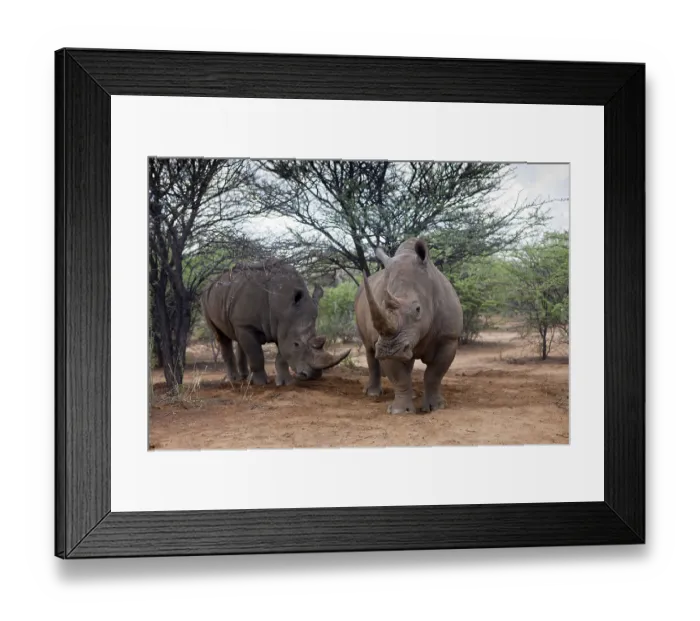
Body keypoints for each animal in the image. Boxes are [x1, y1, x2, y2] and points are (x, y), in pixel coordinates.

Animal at [200, 258, 351, 386]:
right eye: (296, 344)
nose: (313, 375)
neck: (282, 306)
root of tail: (213, 282)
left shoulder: (283, 326)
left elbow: (282, 355)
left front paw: (285, 383)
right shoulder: (249, 325)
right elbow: (256, 355)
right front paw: (260, 383)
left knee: (238, 337)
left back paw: (245, 377)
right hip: (207, 299)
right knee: (221, 336)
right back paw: (235, 380)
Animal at [354, 238, 463, 414]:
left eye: (418, 309)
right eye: (381, 306)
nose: (390, 349)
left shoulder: (449, 338)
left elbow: (434, 375)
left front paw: (436, 407)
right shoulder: (383, 340)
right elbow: (399, 377)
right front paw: (400, 411)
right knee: (369, 348)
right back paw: (372, 394)